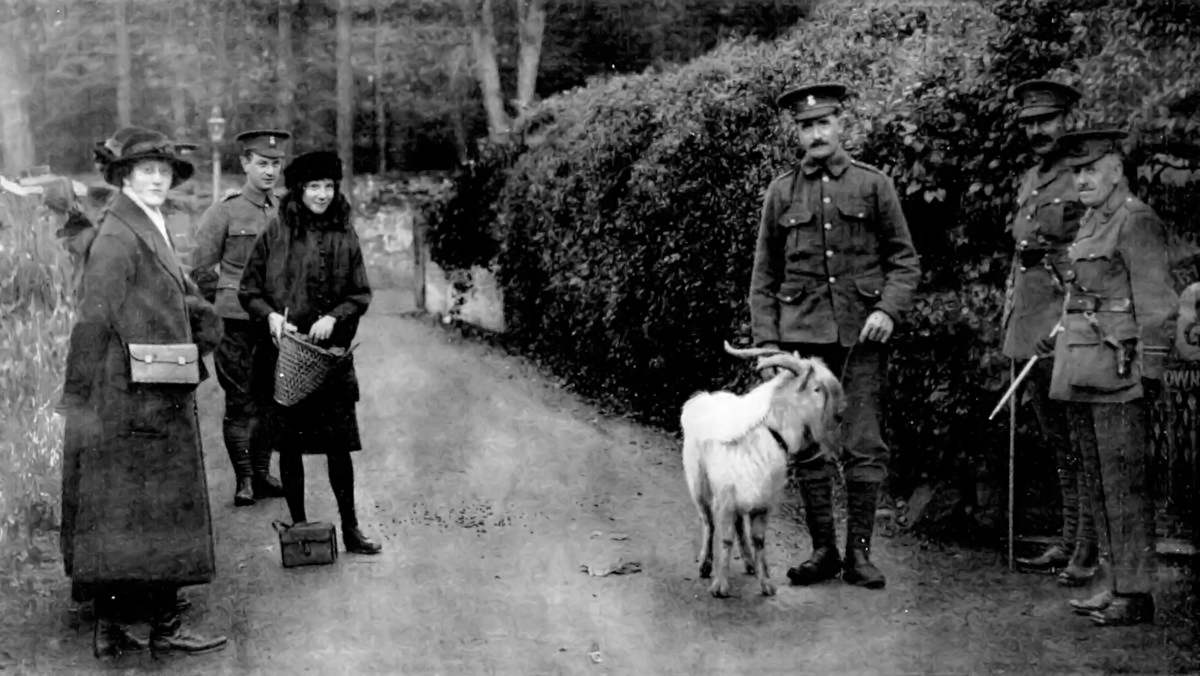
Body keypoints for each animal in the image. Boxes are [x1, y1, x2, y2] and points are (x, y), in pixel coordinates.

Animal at [686, 343, 844, 597]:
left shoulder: (762, 502)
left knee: (739, 527)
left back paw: (749, 563)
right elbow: (725, 539)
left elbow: (759, 541)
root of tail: (702, 399)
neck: (771, 431)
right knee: (708, 523)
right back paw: (705, 564)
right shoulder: (726, 498)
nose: (839, 416)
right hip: (699, 484)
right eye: (816, 389)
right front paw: (720, 586)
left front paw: (766, 584)